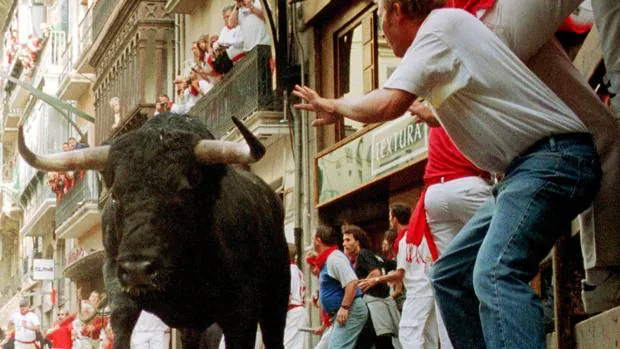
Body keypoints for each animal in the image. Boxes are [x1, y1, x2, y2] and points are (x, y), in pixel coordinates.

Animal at [18, 113, 290, 346]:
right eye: (115, 195)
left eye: (182, 191)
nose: (137, 269)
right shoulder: (116, 276)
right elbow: (122, 316)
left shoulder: (241, 311)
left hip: (276, 295)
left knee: (273, 333)